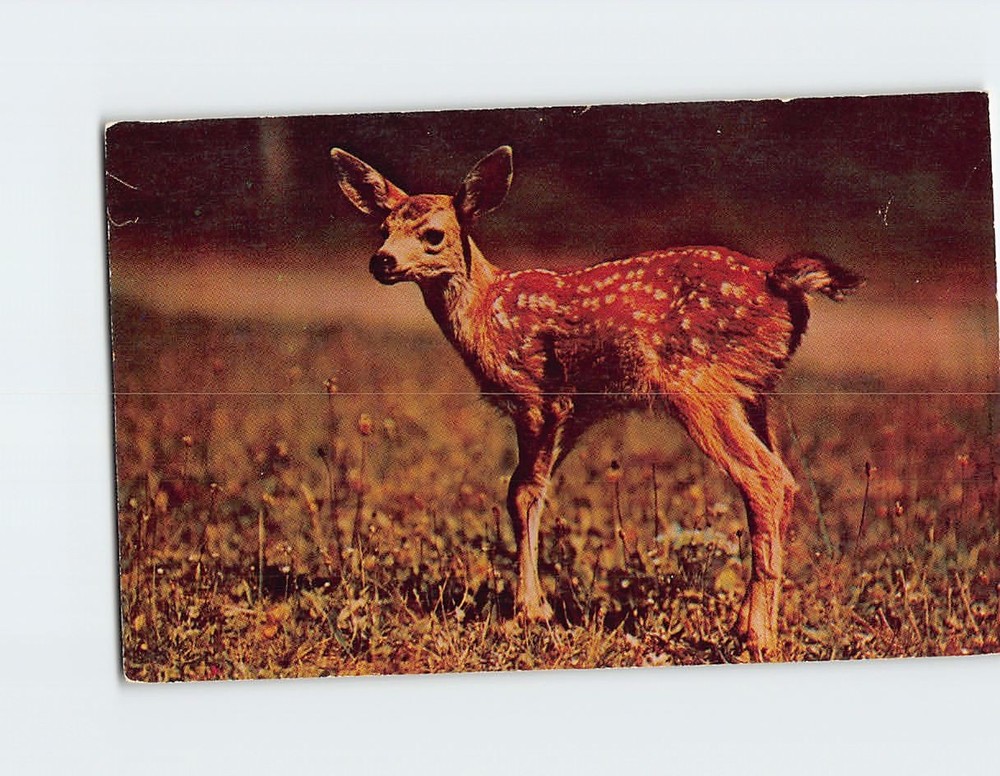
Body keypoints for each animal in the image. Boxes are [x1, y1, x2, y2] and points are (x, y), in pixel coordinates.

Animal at [329, 144, 861, 660]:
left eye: (434, 235)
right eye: (383, 229)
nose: (381, 261)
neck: (486, 313)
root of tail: (778, 278)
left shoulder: (535, 398)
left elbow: (520, 493)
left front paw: (530, 610)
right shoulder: (575, 410)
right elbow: (535, 490)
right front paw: (534, 605)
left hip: (698, 385)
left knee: (766, 480)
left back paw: (756, 637)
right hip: (755, 392)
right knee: (783, 481)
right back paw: (753, 626)